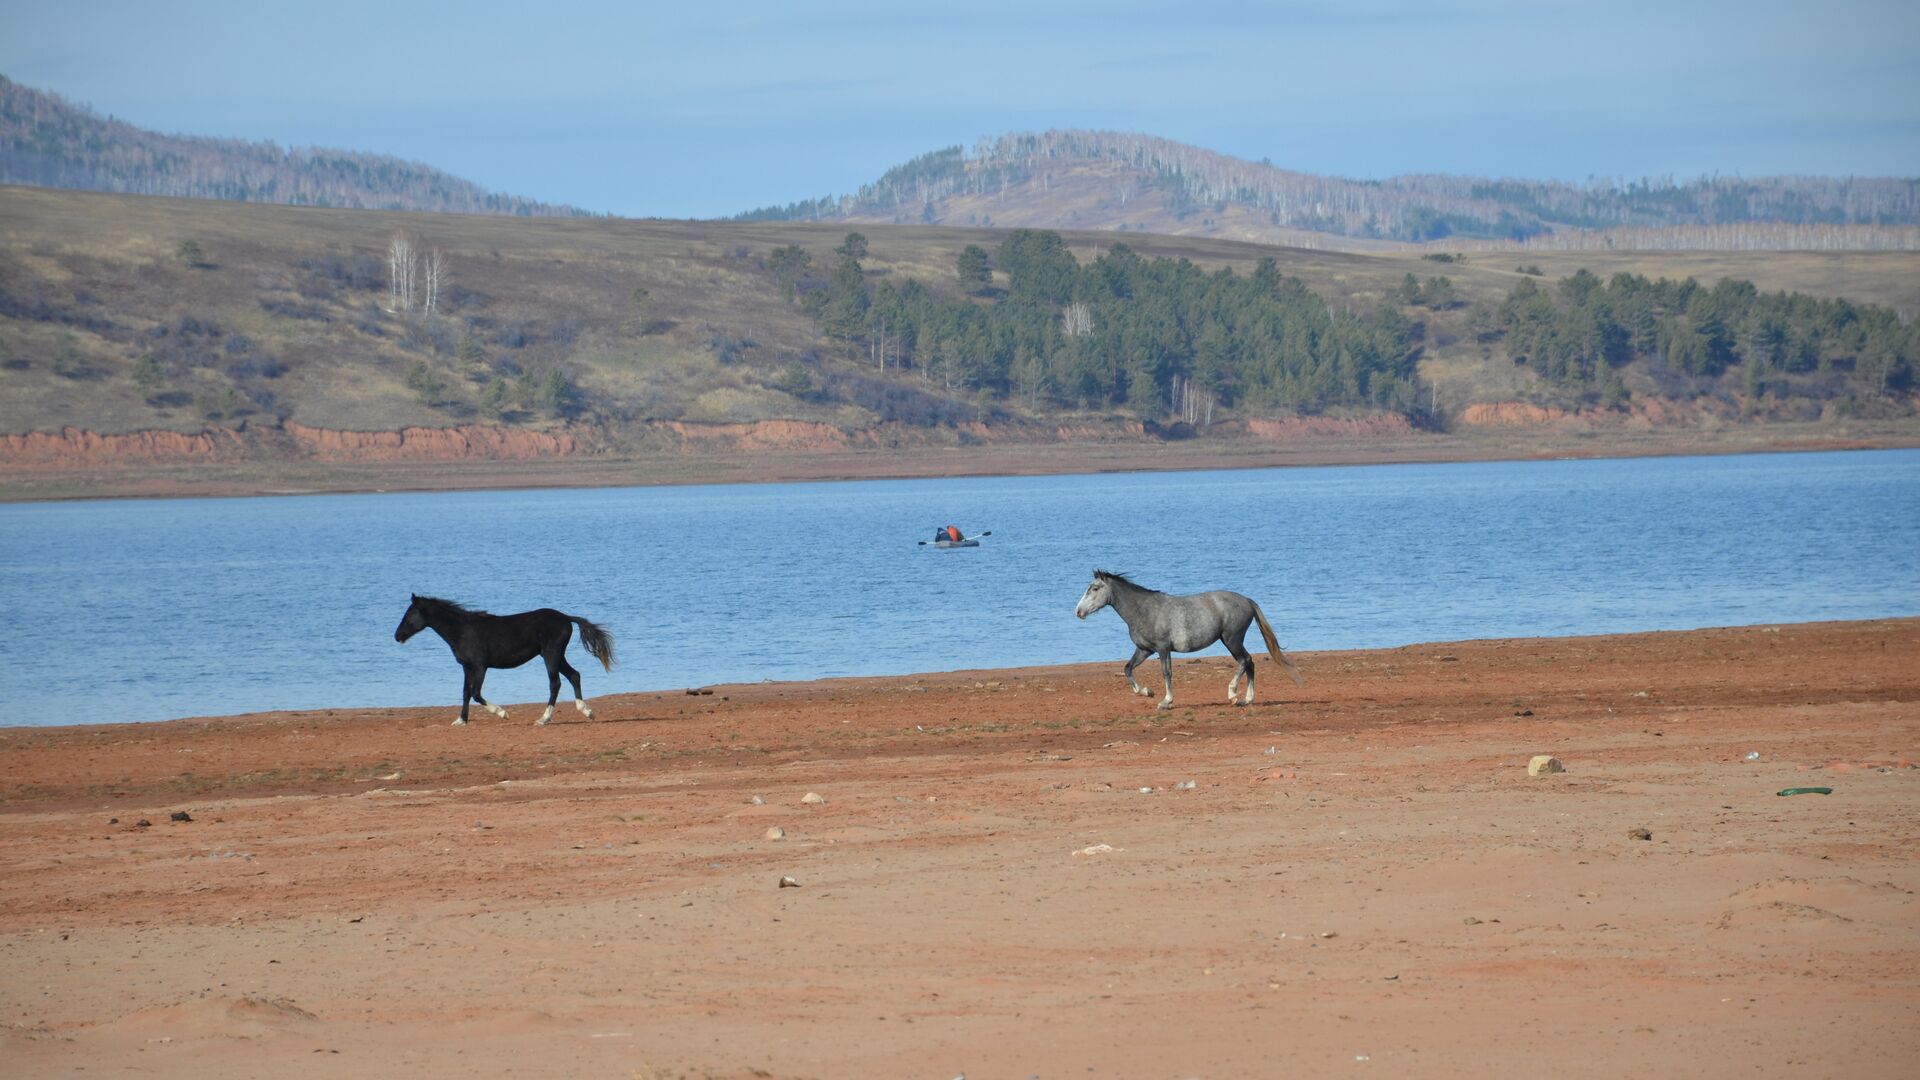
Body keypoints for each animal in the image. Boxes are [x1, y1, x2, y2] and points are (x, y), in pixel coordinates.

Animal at [1082, 568, 1305, 711]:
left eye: (1095, 588)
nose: (1079, 611)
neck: (1144, 610)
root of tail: (1247, 601)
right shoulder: (1144, 650)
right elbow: (1128, 668)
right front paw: (1147, 692)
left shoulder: (1163, 648)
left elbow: (1166, 673)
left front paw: (1166, 702)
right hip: (1231, 641)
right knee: (1249, 663)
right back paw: (1246, 700)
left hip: (1232, 640)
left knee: (1246, 661)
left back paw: (1233, 695)